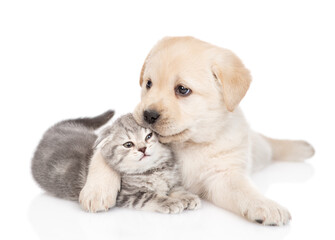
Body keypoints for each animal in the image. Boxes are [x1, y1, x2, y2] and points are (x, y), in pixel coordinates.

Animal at [31, 111, 201, 213]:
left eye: (149, 136)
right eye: (128, 144)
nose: (143, 148)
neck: (153, 170)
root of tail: (51, 131)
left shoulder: (171, 180)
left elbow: (176, 188)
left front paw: (187, 197)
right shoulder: (127, 195)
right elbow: (150, 197)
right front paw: (170, 203)